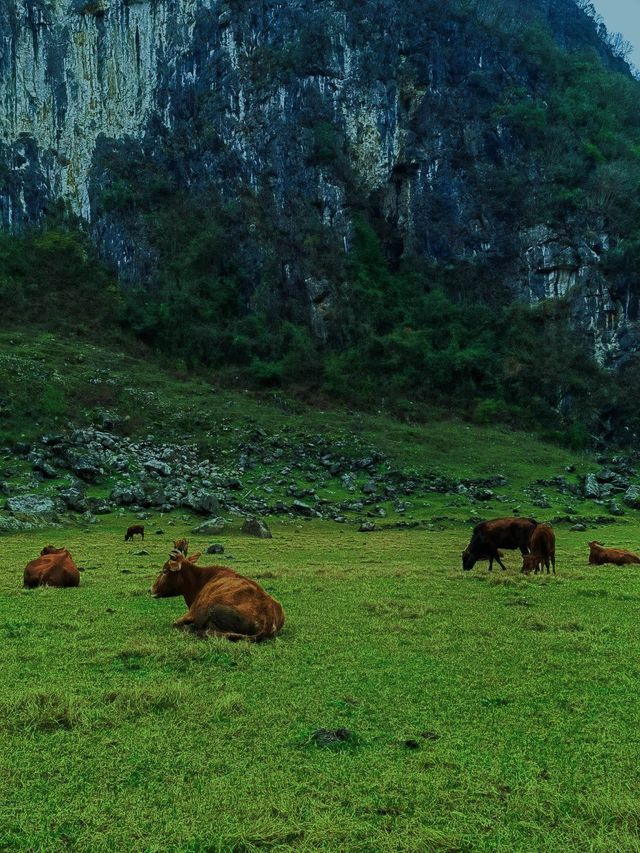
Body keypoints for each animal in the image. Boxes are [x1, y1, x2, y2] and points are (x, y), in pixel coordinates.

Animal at [151, 548, 284, 644]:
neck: (201, 580)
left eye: (165, 571)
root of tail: (268, 613)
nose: (150, 589)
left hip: (211, 609)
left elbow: (175, 623)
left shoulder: (191, 613)